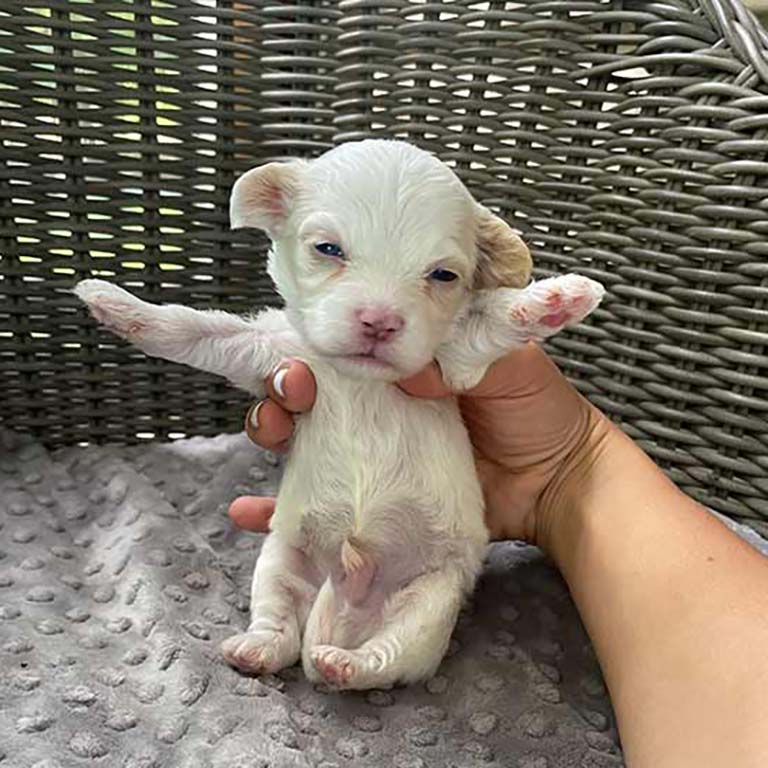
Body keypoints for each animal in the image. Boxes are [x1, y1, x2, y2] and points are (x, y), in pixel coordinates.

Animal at [78, 138, 608, 688]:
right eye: (328, 249)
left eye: (443, 274)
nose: (380, 320)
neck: (360, 381)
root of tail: (352, 598)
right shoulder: (273, 351)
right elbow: (196, 330)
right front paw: (117, 304)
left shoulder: (452, 364)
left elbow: (490, 322)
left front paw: (557, 298)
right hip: (281, 558)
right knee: (281, 622)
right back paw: (258, 648)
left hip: (432, 599)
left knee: (386, 656)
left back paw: (346, 663)